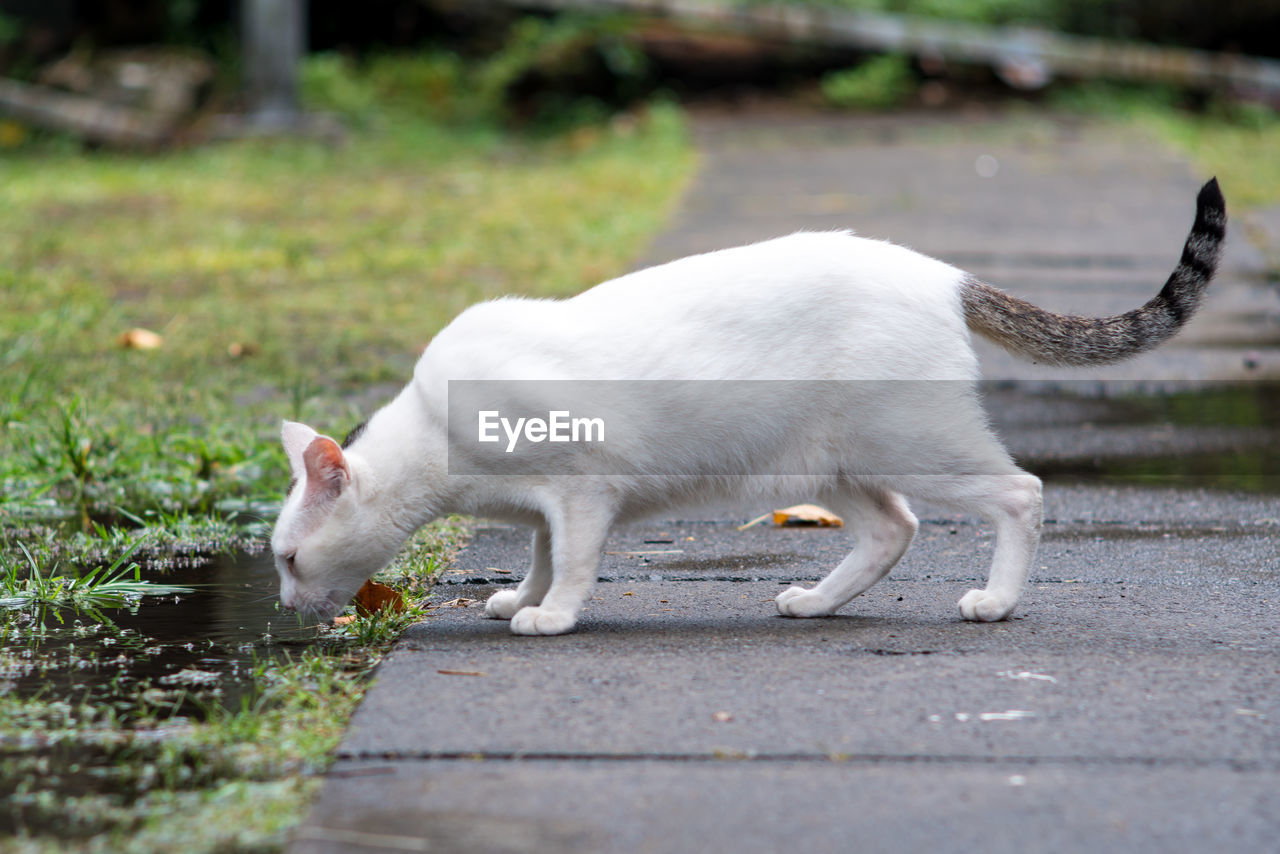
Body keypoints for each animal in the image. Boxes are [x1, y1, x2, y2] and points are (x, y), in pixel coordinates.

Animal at [275, 180, 1223, 635]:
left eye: (284, 559)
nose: (280, 606)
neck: (436, 431)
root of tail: (942, 273)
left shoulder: (583, 491)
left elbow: (573, 561)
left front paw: (551, 616)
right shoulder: (551, 503)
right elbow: (541, 552)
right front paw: (522, 596)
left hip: (913, 442)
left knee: (1020, 493)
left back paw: (996, 602)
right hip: (828, 463)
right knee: (894, 528)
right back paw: (816, 602)